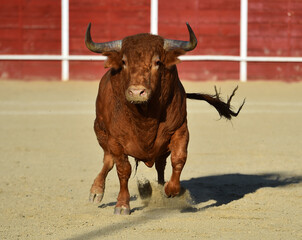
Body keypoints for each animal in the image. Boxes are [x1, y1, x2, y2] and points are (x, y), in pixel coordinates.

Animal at [85, 22, 245, 214]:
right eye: (124, 62)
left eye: (157, 62)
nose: (137, 92)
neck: (144, 116)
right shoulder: (116, 140)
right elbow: (123, 170)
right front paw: (122, 204)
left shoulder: (180, 130)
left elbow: (179, 159)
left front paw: (171, 190)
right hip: (101, 133)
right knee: (108, 161)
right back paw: (96, 191)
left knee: (160, 165)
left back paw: (160, 188)